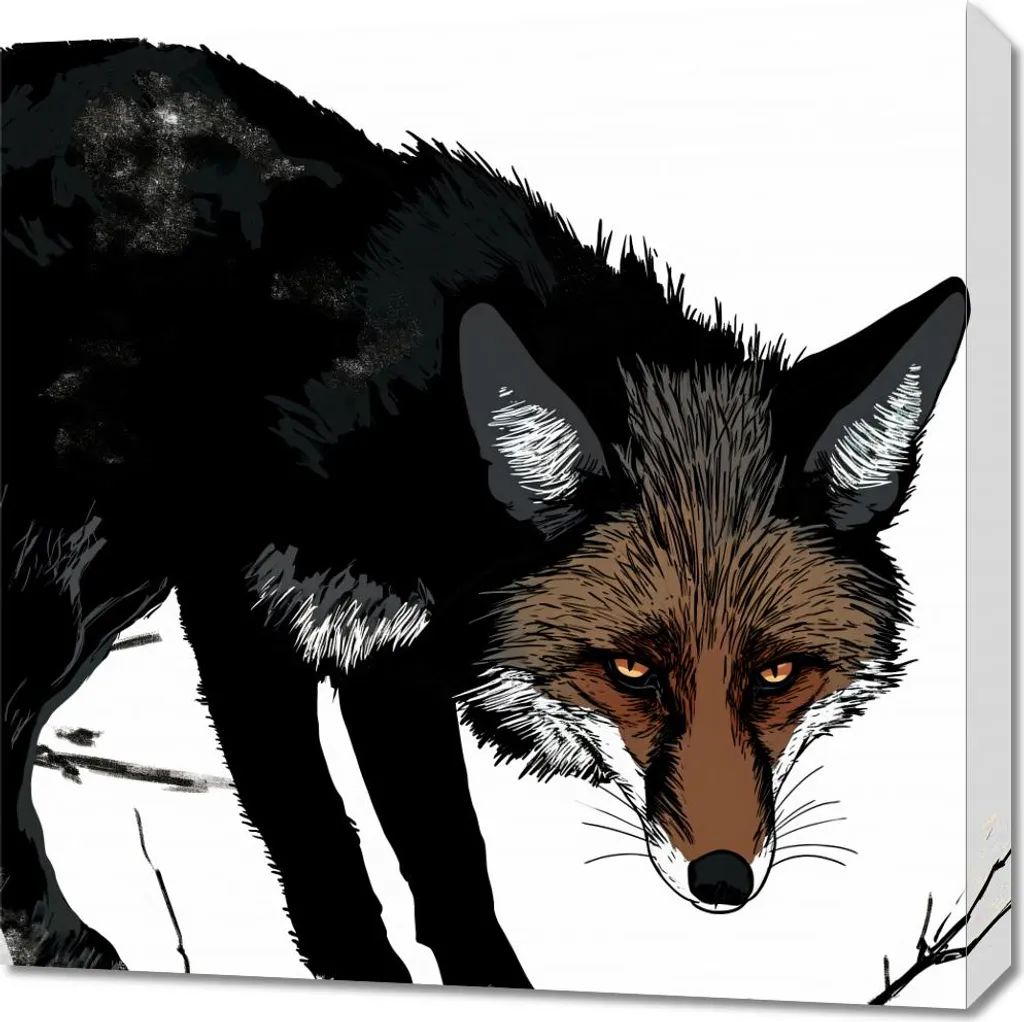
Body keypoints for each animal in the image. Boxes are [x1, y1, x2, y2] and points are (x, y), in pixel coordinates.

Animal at [1, 38, 967, 987]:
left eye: (776, 674)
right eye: (629, 670)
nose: (724, 882)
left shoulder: (383, 651)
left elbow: (447, 857)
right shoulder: (242, 617)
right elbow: (320, 843)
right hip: (70, 584)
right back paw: (56, 938)